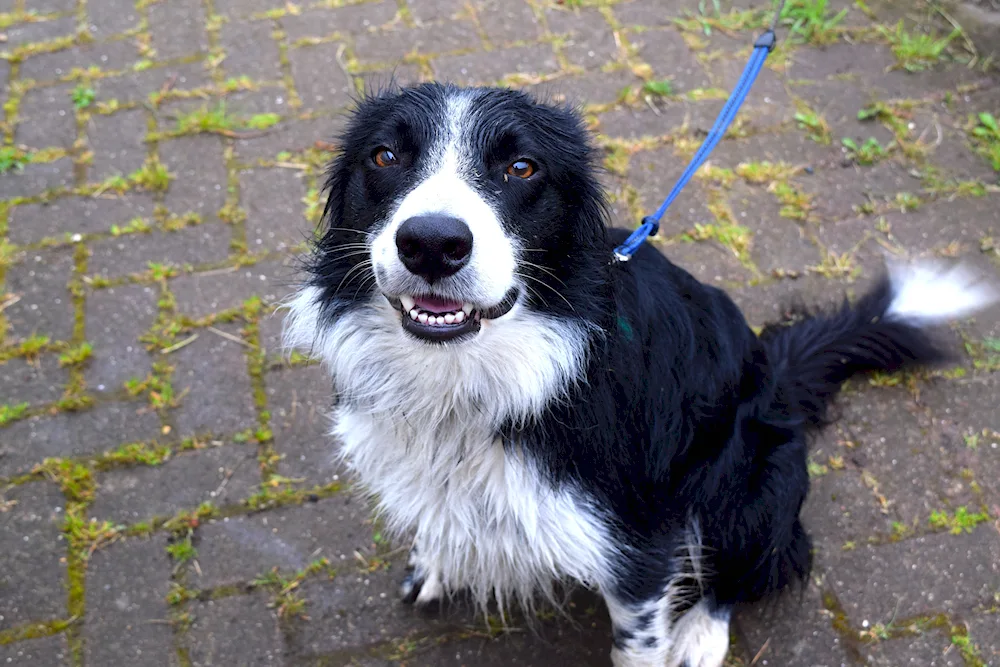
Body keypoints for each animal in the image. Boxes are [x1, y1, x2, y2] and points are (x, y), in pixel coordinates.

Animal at [284, 85, 1000, 667]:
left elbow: (640, 640)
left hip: (750, 484)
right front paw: (438, 559)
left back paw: (702, 637)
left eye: (522, 167)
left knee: (742, 572)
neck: (468, 382)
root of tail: (780, 379)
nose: (432, 243)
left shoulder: (641, 549)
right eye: (385, 157)